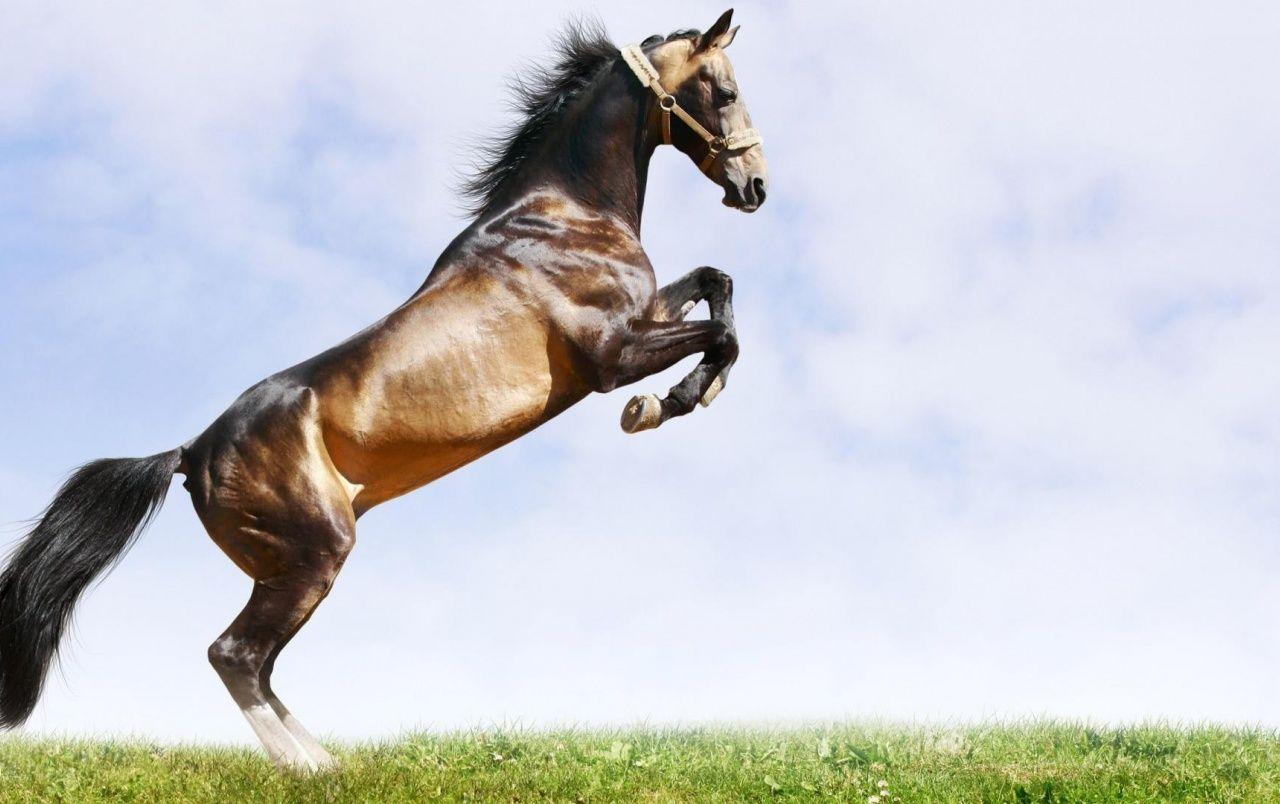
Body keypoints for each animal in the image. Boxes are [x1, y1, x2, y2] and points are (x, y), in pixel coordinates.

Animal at [0, 9, 767, 770]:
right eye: (725, 92)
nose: (755, 185)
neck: (565, 215)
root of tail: (190, 452)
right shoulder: (611, 356)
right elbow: (720, 335)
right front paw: (662, 405)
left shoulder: (645, 318)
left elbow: (717, 284)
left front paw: (688, 393)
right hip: (315, 553)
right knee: (235, 654)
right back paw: (306, 770)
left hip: (283, 566)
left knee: (260, 662)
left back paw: (329, 762)